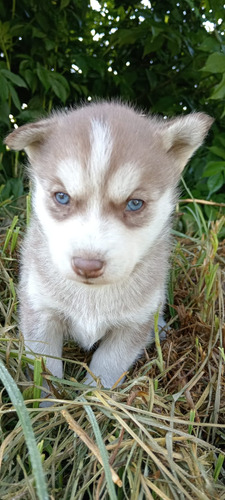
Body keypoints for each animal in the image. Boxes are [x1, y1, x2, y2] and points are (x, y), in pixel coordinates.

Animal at [4, 103, 213, 388]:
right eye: (62, 197)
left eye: (135, 203)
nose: (87, 265)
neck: (92, 295)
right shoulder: (40, 310)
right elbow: (44, 367)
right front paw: (49, 397)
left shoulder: (133, 324)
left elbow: (107, 367)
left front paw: (93, 394)